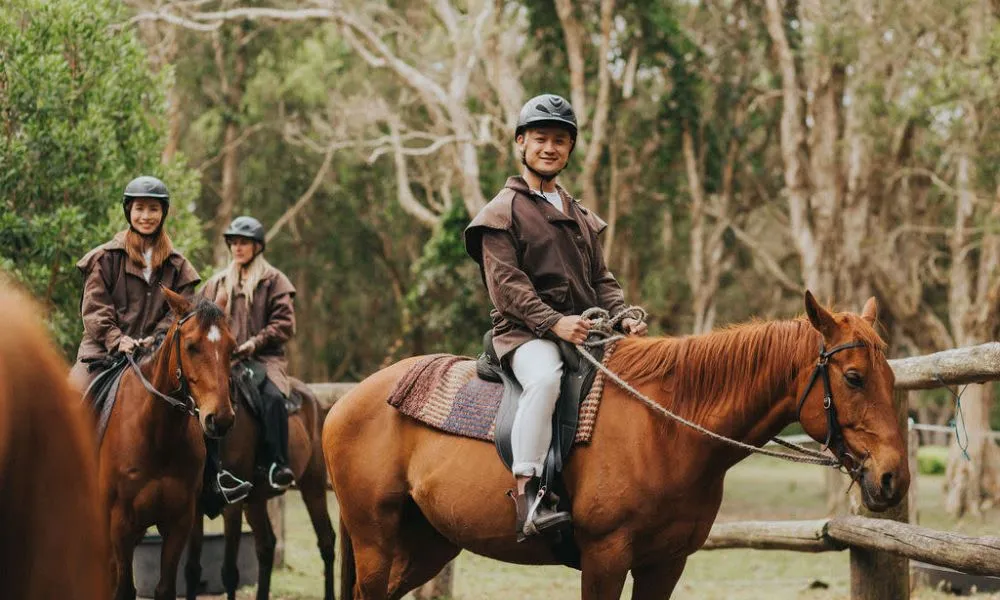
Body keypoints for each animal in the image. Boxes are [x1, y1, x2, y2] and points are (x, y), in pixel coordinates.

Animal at [100, 289, 237, 600]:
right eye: (191, 346)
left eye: (232, 349)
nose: (221, 419)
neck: (157, 434)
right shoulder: (119, 524)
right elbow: (123, 588)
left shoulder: (179, 521)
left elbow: (165, 588)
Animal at [184, 377, 336, 600]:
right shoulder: (195, 509)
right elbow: (192, 571)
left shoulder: (233, 507)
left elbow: (229, 572)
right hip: (256, 501)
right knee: (266, 546)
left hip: (313, 486)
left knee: (326, 540)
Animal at [322, 292, 910, 599]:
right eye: (854, 378)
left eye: (889, 378)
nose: (893, 479)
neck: (666, 430)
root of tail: (349, 401)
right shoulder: (605, 558)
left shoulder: (664, 564)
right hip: (375, 541)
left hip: (426, 545)